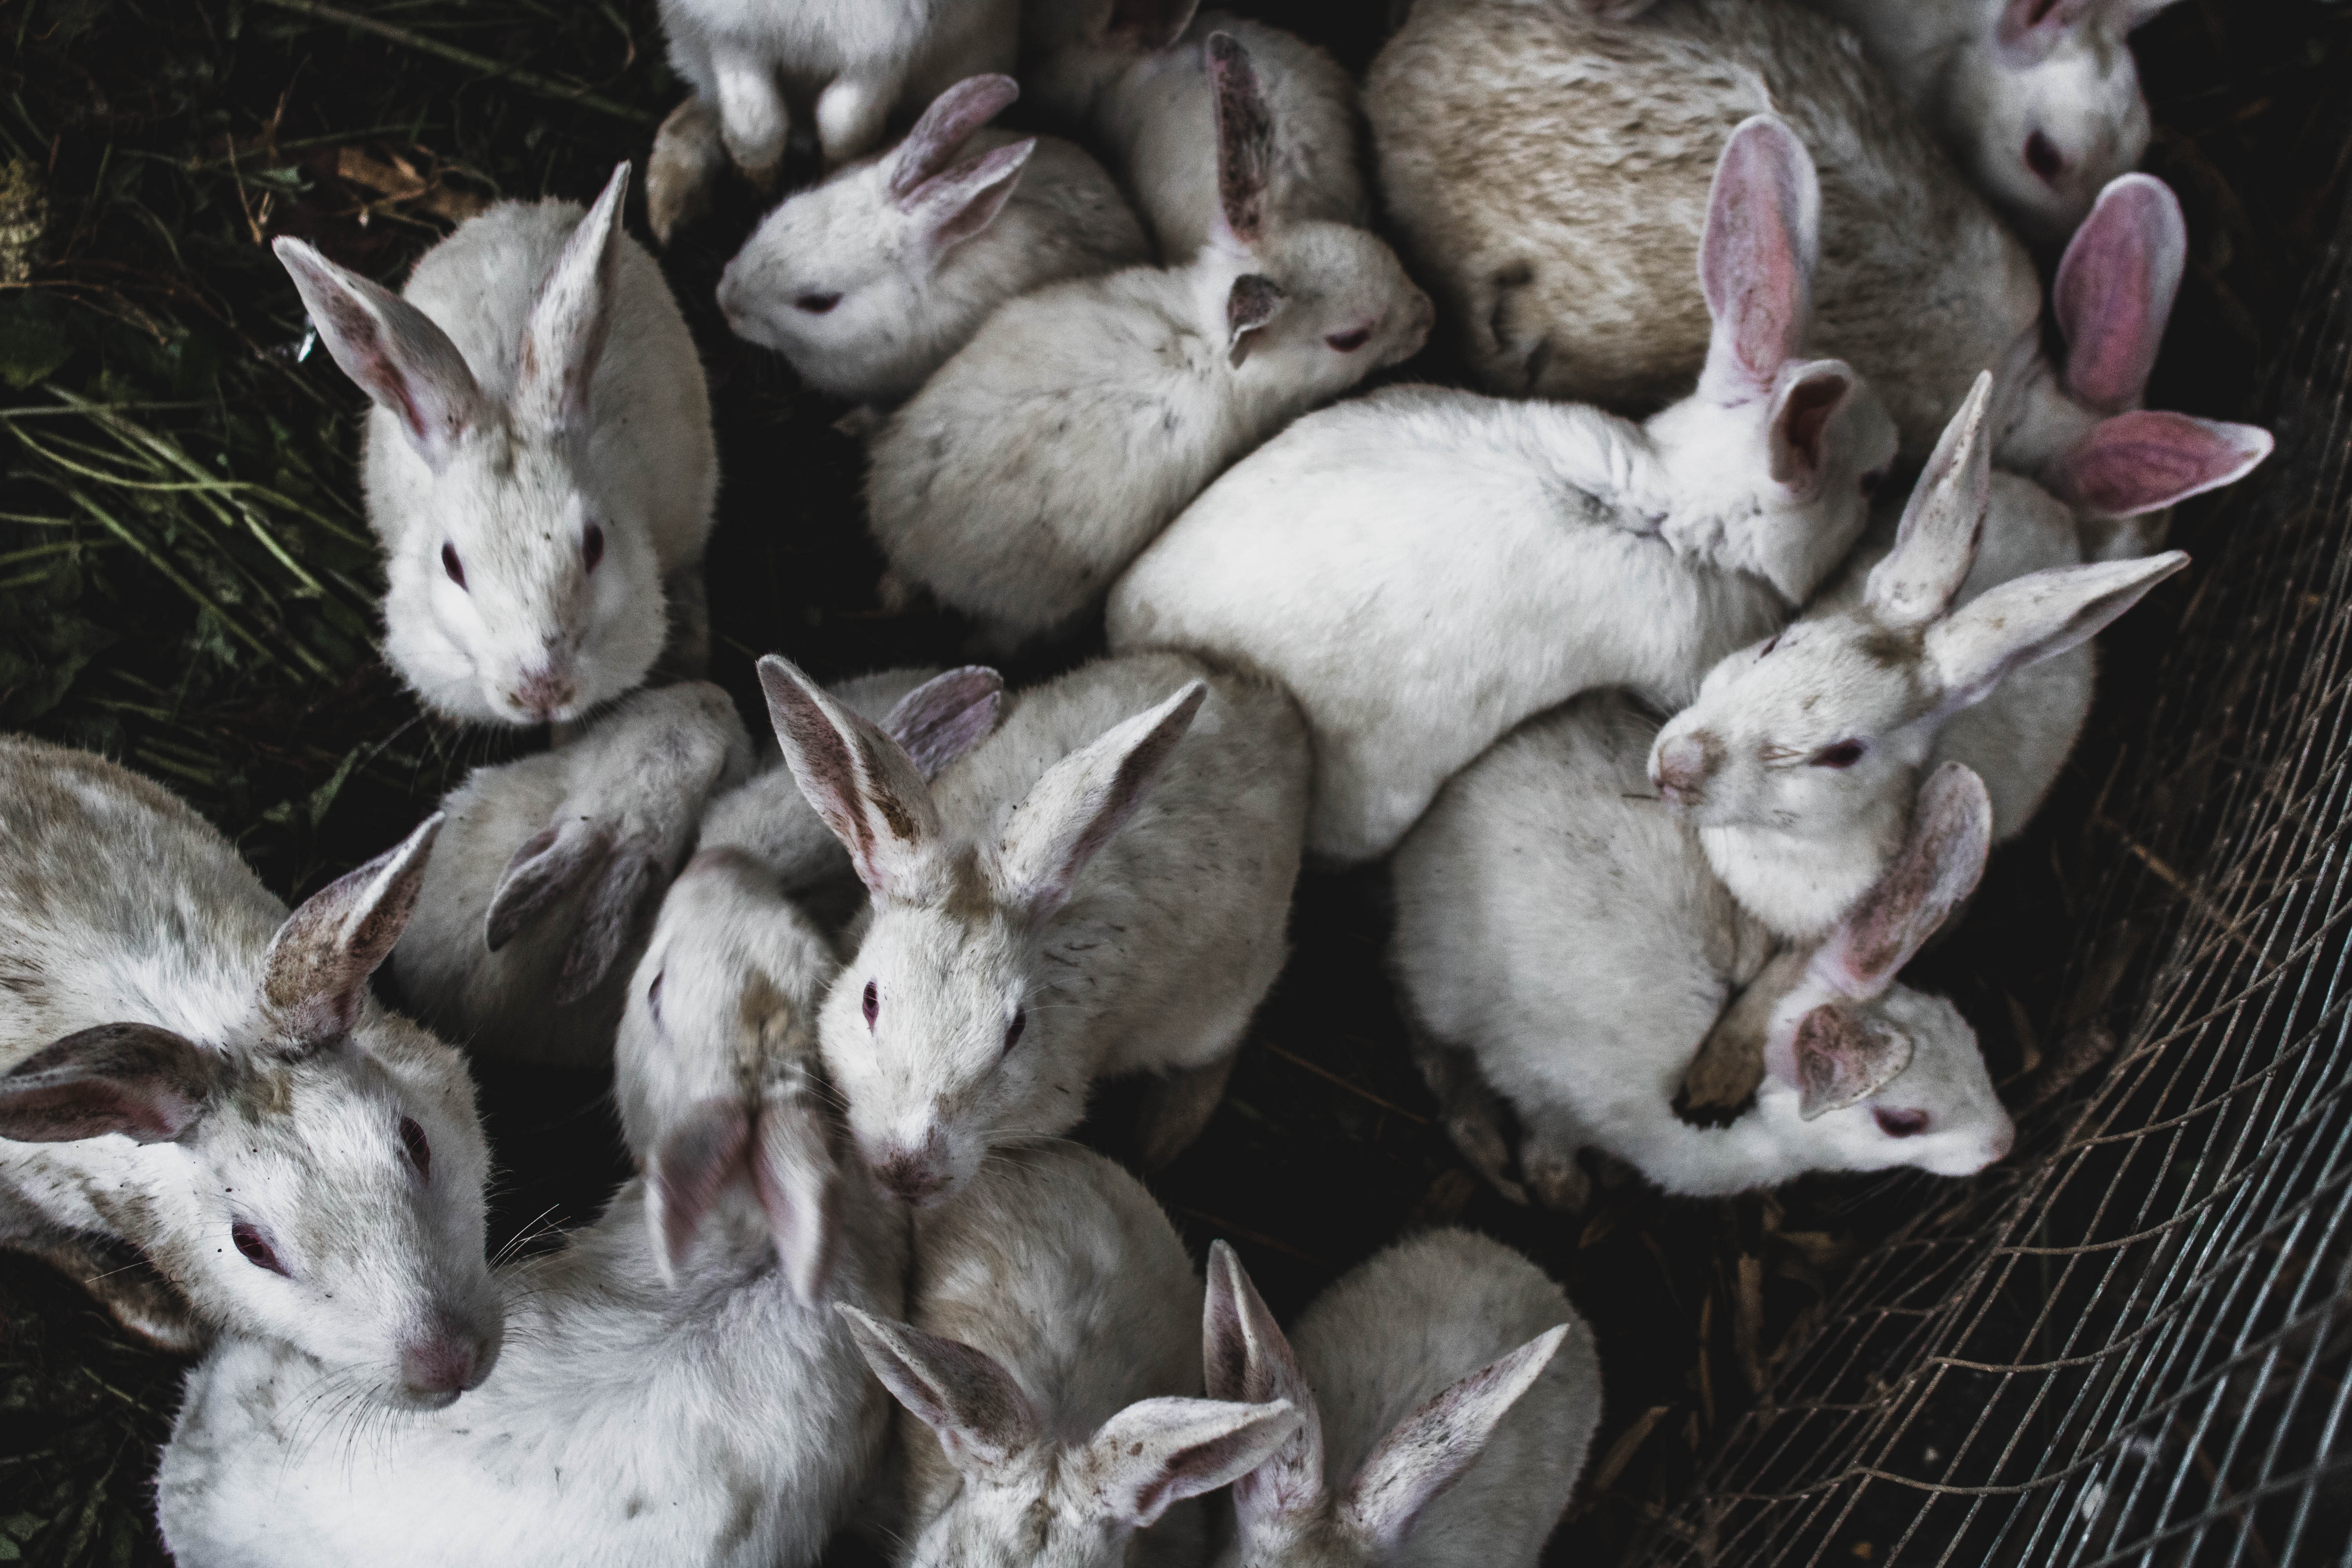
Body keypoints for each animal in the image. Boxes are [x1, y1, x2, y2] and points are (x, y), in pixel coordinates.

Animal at [647, 0, 1020, 238]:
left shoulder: (883, 55)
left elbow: (844, 125)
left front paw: (830, 185)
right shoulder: (733, 38)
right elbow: (754, 121)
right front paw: (759, 189)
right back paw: (669, 209)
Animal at [1392, 711, 2014, 1211]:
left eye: (1965, 1032)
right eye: (1902, 1123)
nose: (2002, 1143)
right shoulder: (1541, 1090)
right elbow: (1550, 1145)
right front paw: (1562, 1192)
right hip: (1438, 980)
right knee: (1427, 1038)